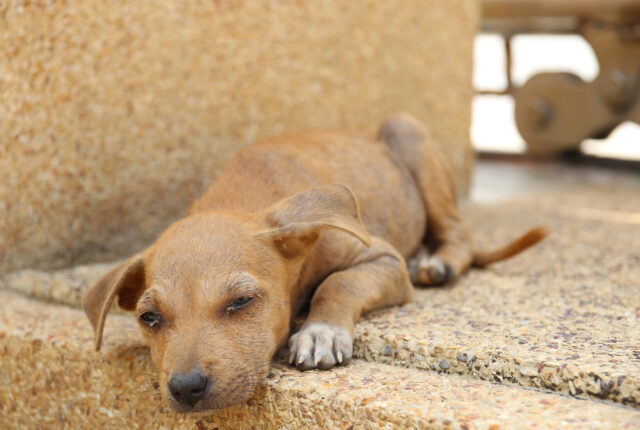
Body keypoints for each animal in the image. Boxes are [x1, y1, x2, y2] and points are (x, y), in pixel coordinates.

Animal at [82, 114, 548, 414]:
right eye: (149, 317)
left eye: (241, 301)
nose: (186, 388)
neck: (240, 198)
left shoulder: (383, 259)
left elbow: (337, 284)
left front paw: (319, 331)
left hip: (408, 133)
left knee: (459, 236)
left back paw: (437, 262)